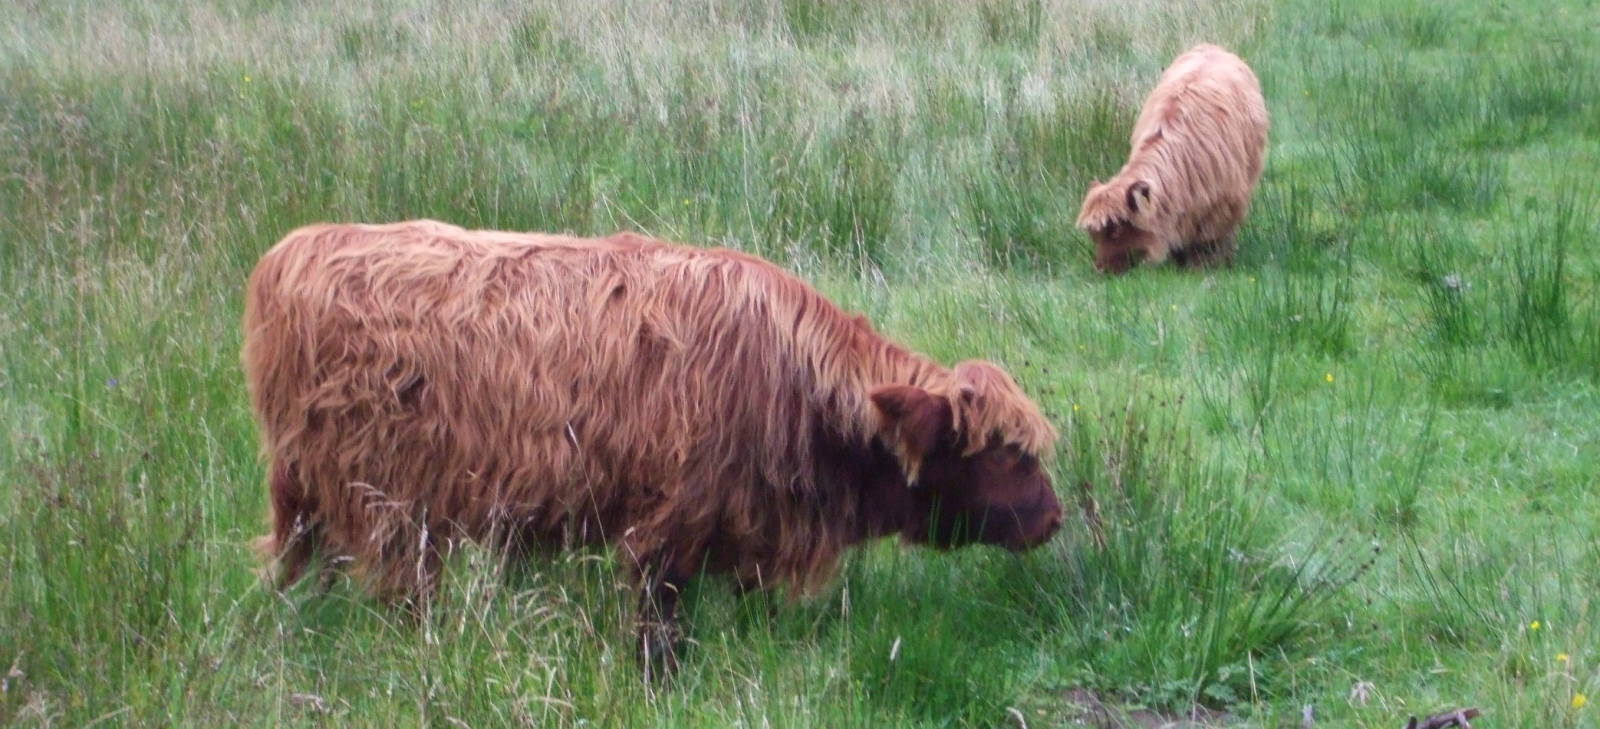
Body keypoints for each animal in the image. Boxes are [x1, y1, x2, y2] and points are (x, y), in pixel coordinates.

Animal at [243, 220, 1062, 677]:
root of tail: (294, 251)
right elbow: (658, 626)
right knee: (396, 592)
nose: (1054, 517)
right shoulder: (671, 523)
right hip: (383, 501)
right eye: (1010, 455)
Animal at [1081, 43, 1267, 276]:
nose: (1102, 270)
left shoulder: (1221, 205)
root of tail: (1211, 46)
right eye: (1094, 235)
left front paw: (1203, 267)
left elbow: (1209, 243)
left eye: (1116, 231)